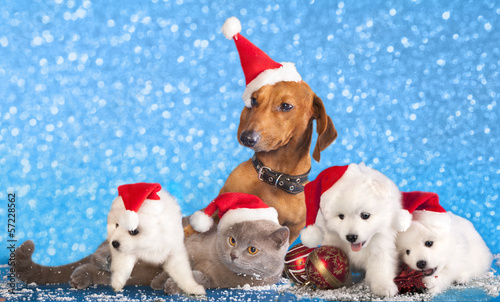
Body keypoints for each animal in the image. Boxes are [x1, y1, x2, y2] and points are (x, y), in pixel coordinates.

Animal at [14, 219, 290, 292]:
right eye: (232, 240)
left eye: (252, 249)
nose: (233, 254)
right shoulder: (188, 247)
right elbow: (175, 265)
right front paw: (161, 282)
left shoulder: (217, 282)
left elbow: (198, 278)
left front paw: (169, 286)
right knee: (99, 255)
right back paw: (104, 259)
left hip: (132, 276)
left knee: (96, 271)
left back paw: (80, 278)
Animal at [300, 163, 410, 298]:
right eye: (341, 216)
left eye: (365, 215)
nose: (351, 237)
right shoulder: (334, 242)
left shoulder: (381, 248)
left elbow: (381, 268)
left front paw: (384, 286)